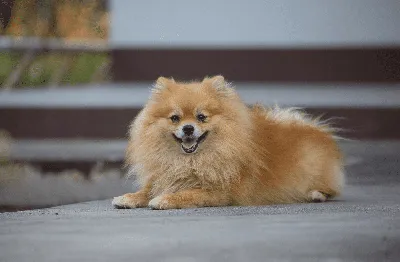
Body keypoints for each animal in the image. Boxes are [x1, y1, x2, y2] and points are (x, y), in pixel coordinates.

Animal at [112, 75, 344, 209]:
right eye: (175, 118)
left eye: (201, 117)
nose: (188, 128)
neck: (190, 161)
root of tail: (314, 128)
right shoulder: (164, 175)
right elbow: (147, 189)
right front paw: (128, 197)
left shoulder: (219, 192)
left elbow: (187, 194)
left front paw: (165, 199)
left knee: (331, 190)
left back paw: (316, 194)